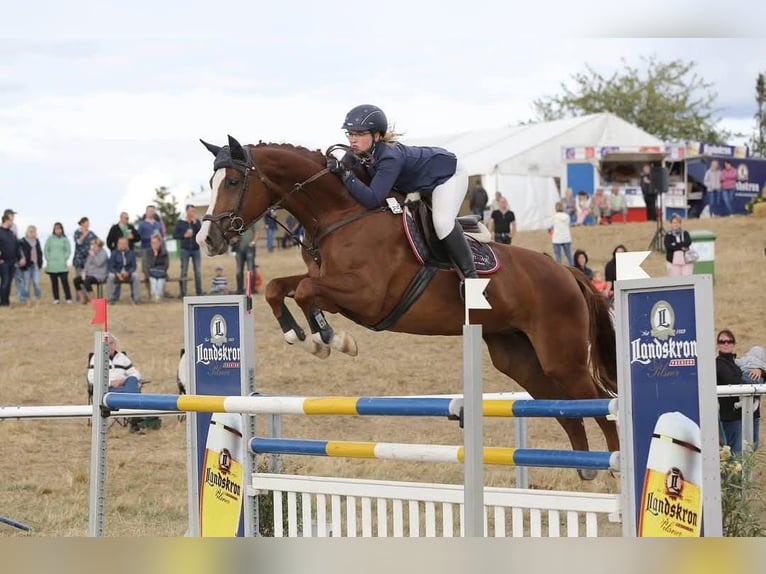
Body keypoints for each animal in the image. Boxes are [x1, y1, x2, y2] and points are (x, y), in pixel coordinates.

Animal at [196, 135, 618, 479]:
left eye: (232, 182)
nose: (207, 238)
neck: (339, 215)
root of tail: (566, 271)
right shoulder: (330, 287)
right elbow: (278, 288)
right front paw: (303, 337)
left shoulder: (365, 296)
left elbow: (304, 292)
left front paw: (332, 339)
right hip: (518, 357)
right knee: (564, 406)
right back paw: (584, 466)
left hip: (562, 356)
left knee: (600, 401)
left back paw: (616, 465)